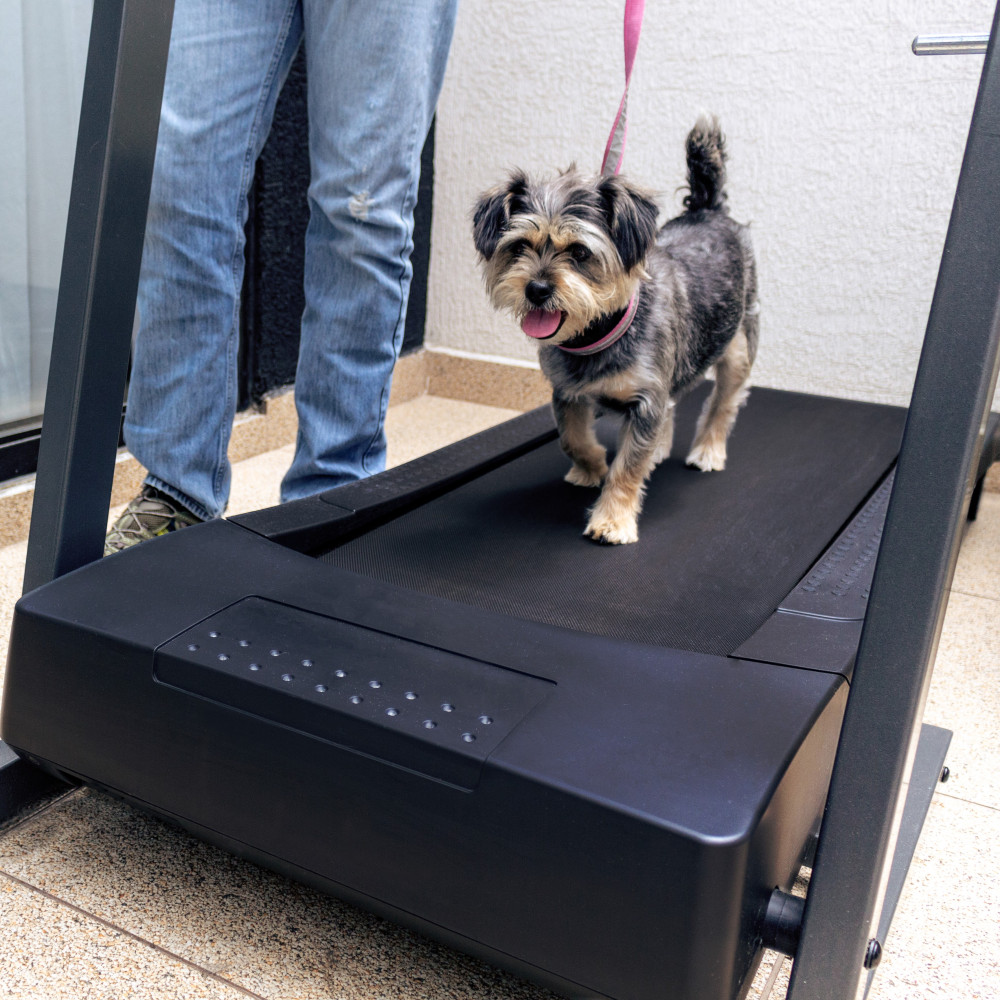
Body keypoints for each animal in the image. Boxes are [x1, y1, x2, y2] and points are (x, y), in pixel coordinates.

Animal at [470, 117, 756, 548]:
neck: (596, 334)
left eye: (580, 252)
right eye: (519, 246)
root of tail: (708, 210)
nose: (536, 289)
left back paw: (708, 450)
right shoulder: (566, 391)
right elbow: (572, 439)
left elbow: (627, 469)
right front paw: (591, 469)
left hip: (738, 346)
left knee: (724, 403)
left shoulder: (646, 399)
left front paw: (613, 519)